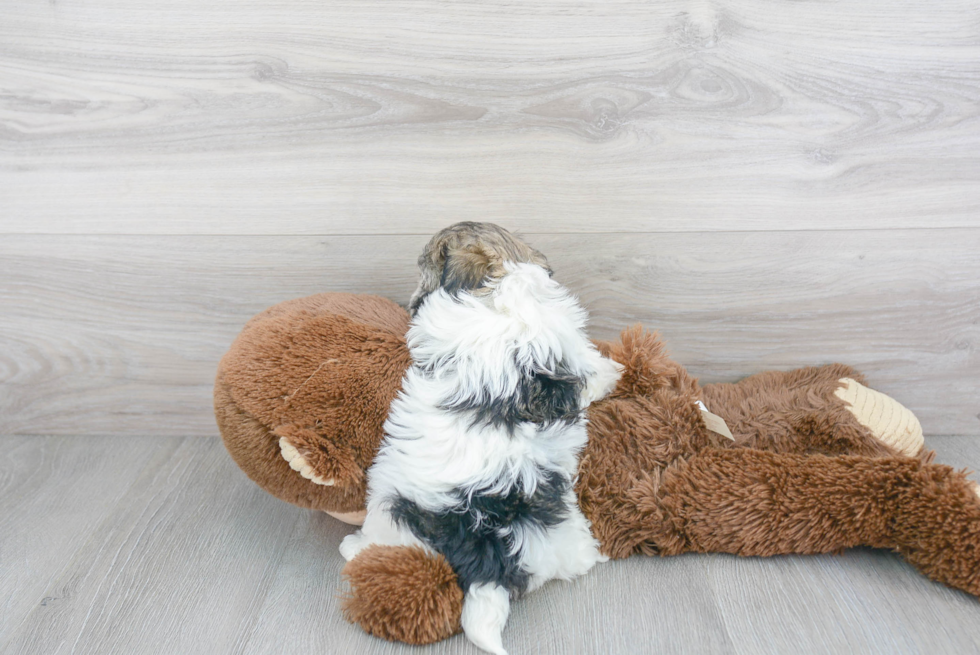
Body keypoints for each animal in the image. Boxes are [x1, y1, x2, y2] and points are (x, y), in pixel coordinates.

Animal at [340, 222, 624, 655]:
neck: (504, 287)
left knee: (384, 541)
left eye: (423, 269)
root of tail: (489, 550)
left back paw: (352, 546)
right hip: (560, 537)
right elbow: (588, 370)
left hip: (389, 503)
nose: (410, 302)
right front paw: (611, 373)